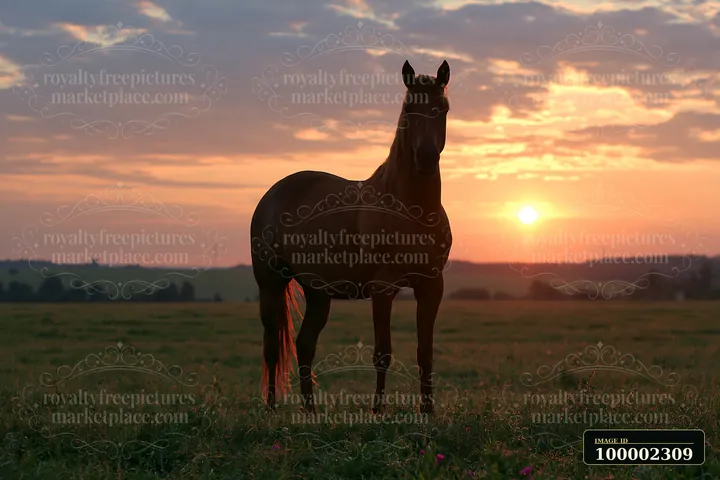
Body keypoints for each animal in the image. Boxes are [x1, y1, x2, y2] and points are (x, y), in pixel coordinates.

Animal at [250, 60, 452, 415]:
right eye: (408, 109)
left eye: (443, 108)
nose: (426, 158)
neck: (412, 209)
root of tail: (273, 192)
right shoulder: (383, 288)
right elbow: (382, 352)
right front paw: (377, 411)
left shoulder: (432, 286)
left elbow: (425, 352)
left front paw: (427, 412)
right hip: (271, 284)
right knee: (272, 345)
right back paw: (272, 409)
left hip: (317, 291)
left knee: (304, 344)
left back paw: (310, 412)